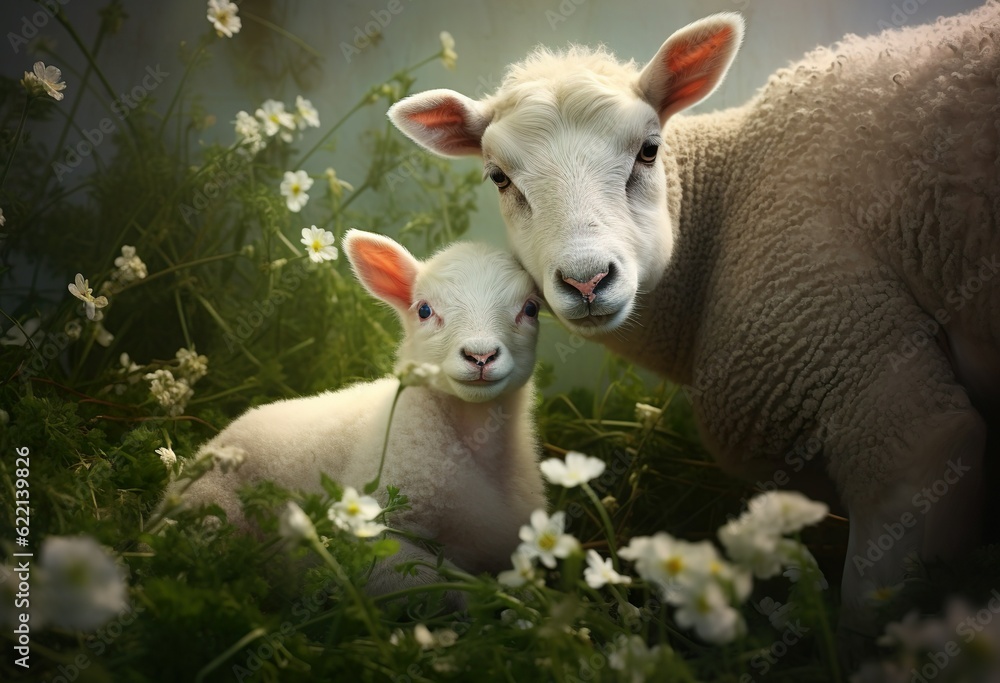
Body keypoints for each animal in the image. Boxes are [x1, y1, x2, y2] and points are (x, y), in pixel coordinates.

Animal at [386, 4, 1000, 647]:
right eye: (499, 178)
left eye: (649, 150)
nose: (587, 281)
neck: (723, 201)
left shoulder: (876, 392)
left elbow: (870, 607)